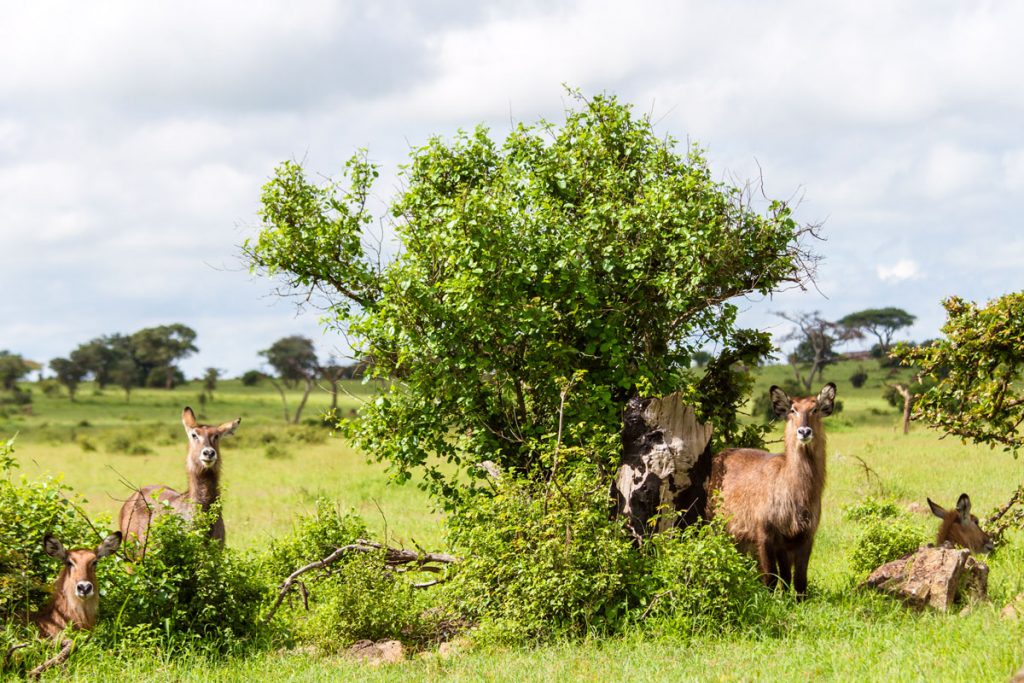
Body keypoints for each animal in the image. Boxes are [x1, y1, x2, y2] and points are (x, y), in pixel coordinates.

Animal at [708, 385, 835, 598]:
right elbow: (770, 578)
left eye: (815, 409)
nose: (804, 431)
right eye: (792, 410)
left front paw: (794, 602)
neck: (796, 493)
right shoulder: (766, 535)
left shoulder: (804, 537)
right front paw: (769, 601)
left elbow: (797, 580)